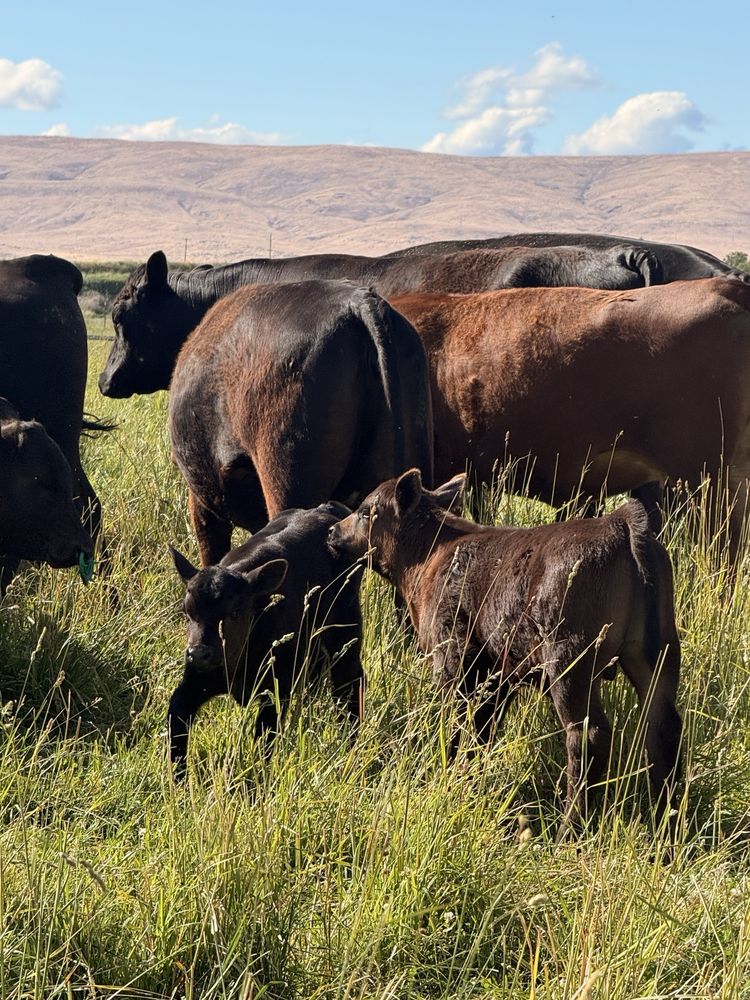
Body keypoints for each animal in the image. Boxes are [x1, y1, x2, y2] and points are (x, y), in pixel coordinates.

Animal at [168, 502, 364, 778]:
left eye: (235, 612)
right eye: (187, 612)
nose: (199, 653)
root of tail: (326, 509)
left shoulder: (275, 691)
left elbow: (262, 744)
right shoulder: (195, 682)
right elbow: (176, 723)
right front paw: (179, 780)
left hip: (345, 627)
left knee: (349, 682)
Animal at [328, 469, 682, 836]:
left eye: (366, 511)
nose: (333, 531)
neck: (431, 554)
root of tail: (619, 522)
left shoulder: (453, 659)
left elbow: (455, 723)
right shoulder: (498, 676)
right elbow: (482, 730)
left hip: (570, 664)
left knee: (588, 736)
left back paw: (569, 829)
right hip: (656, 655)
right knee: (663, 727)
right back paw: (666, 821)